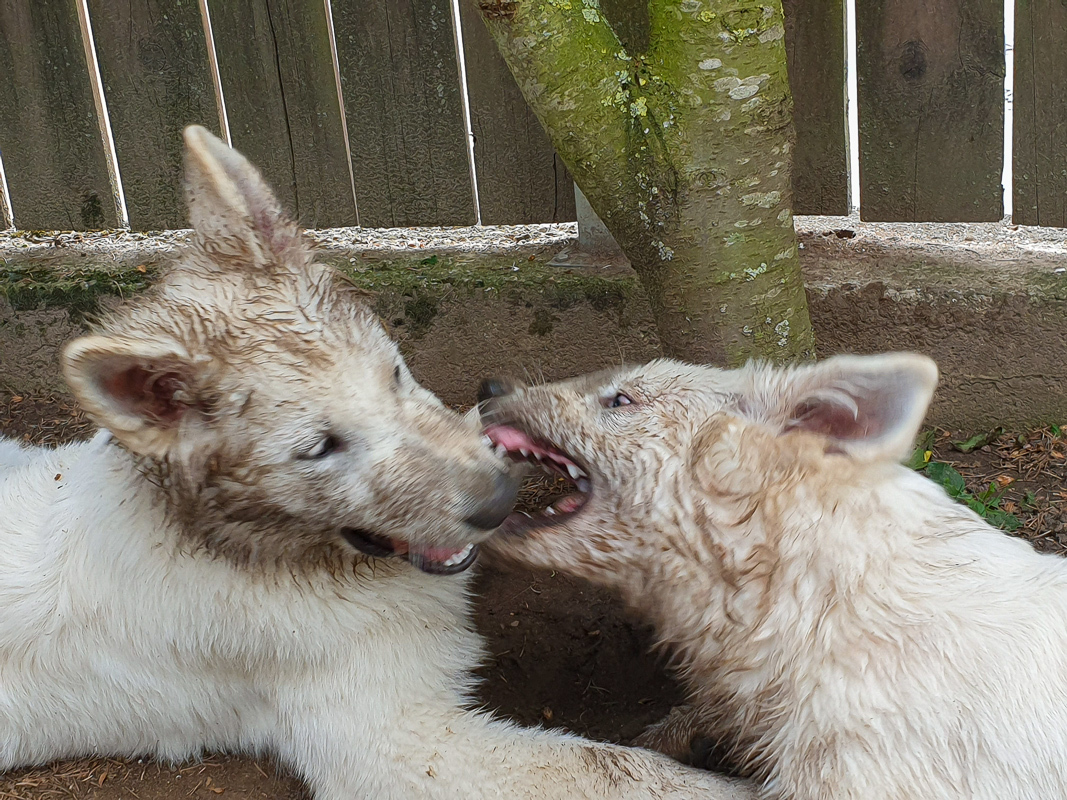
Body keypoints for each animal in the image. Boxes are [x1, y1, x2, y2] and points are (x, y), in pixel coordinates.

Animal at [0, 127, 754, 800]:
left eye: (393, 375)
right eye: (318, 449)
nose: (496, 504)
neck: (262, 556)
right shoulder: (393, 741)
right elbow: (620, 769)